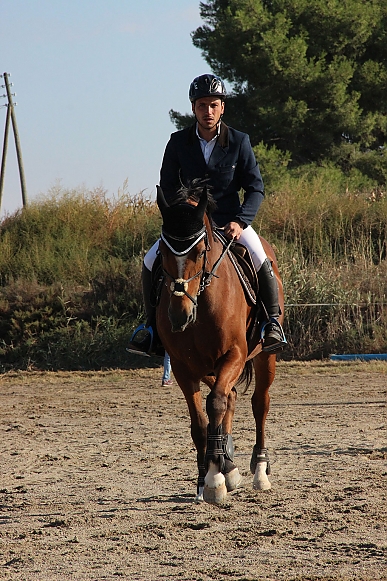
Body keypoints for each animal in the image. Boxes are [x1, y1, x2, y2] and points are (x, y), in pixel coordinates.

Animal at [155, 182, 284, 502]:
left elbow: (215, 404)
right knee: (231, 397)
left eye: (201, 251)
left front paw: (215, 479)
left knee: (259, 403)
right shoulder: (182, 367)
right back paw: (228, 464)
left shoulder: (234, 354)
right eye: (161, 251)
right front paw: (205, 481)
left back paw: (259, 471)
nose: (179, 315)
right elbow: (201, 423)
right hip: (208, 367)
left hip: (264, 356)